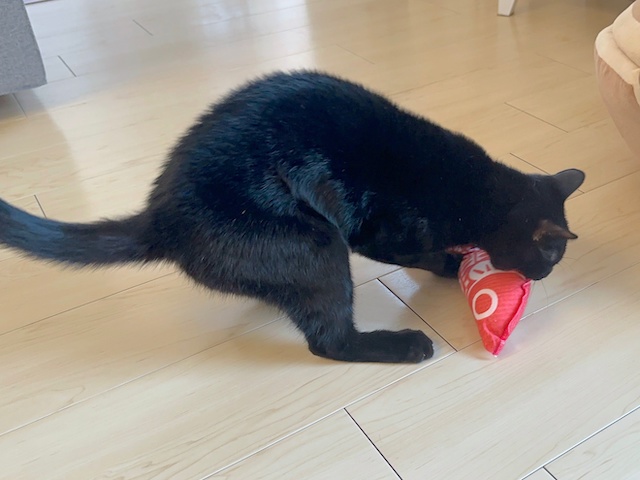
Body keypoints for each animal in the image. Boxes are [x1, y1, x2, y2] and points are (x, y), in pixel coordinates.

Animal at [0, 71, 584, 364]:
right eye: (550, 258)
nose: (544, 275)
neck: (480, 191)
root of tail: (159, 216)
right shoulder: (382, 230)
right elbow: (418, 252)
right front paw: (450, 264)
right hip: (318, 244)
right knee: (328, 341)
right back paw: (401, 345)